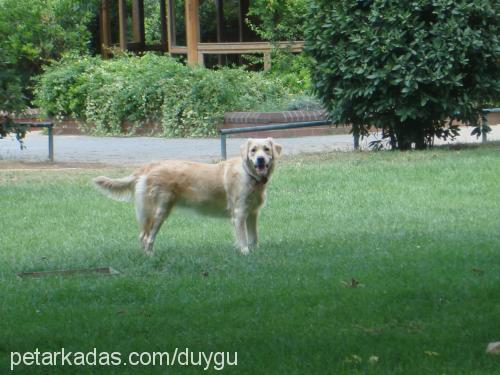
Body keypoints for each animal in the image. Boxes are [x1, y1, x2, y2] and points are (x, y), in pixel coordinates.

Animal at [94, 138, 282, 256]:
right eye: (253, 150)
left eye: (266, 149)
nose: (260, 159)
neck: (249, 175)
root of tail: (149, 166)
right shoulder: (239, 213)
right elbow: (243, 238)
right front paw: (244, 252)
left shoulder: (252, 213)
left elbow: (254, 237)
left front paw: (255, 251)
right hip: (159, 212)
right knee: (147, 237)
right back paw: (150, 257)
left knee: (142, 236)